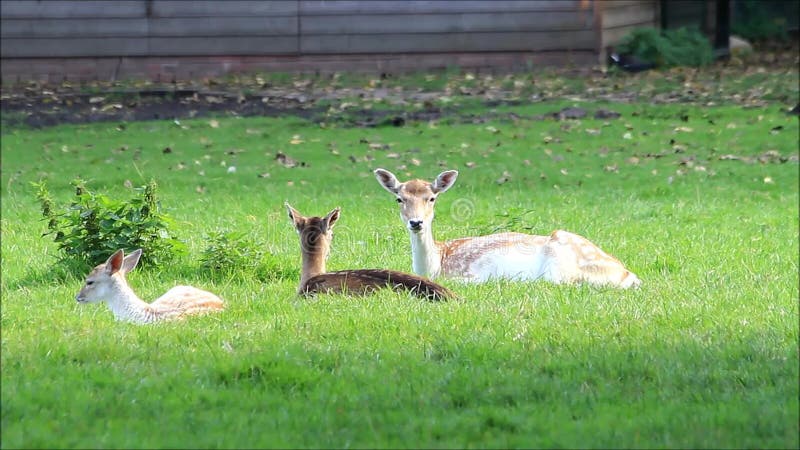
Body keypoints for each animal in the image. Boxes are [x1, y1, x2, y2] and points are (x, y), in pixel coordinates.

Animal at [372, 168, 640, 288]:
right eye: (399, 199)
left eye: (432, 198)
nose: (416, 222)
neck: (436, 265)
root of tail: (628, 275)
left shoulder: (470, 275)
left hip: (559, 264)